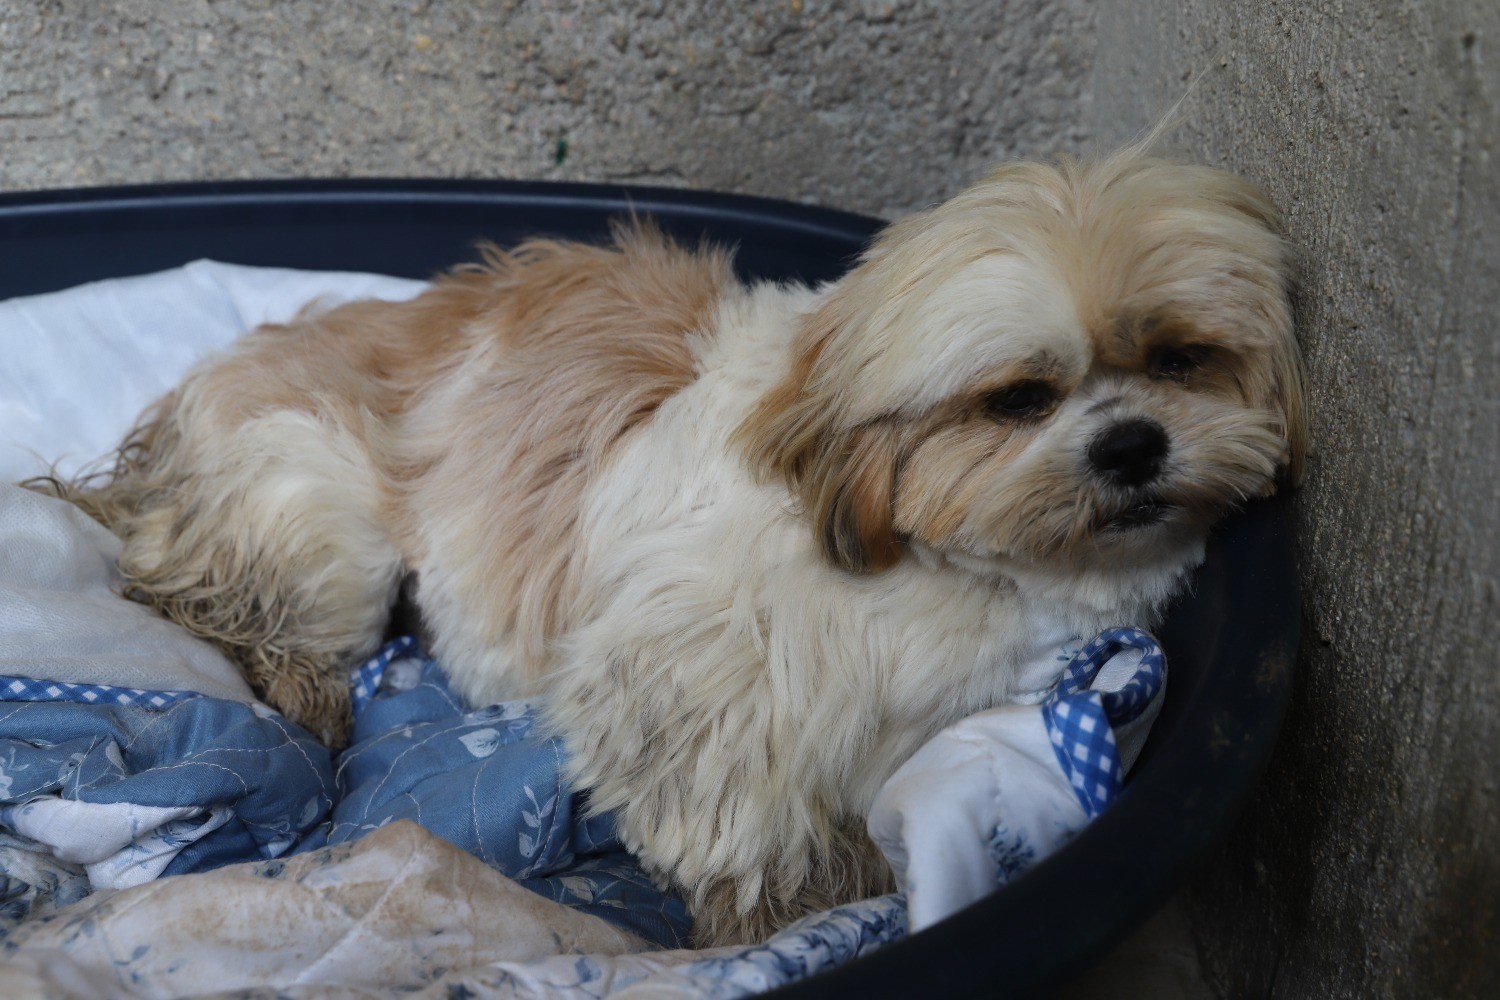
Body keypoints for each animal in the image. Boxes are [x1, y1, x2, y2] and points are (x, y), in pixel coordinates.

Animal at [55, 146, 1302, 947]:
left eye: (1182, 359)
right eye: (1019, 399)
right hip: (317, 512)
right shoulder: (692, 684)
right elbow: (753, 825)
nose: (1132, 444)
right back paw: (297, 689)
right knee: (238, 608)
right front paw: (798, 911)